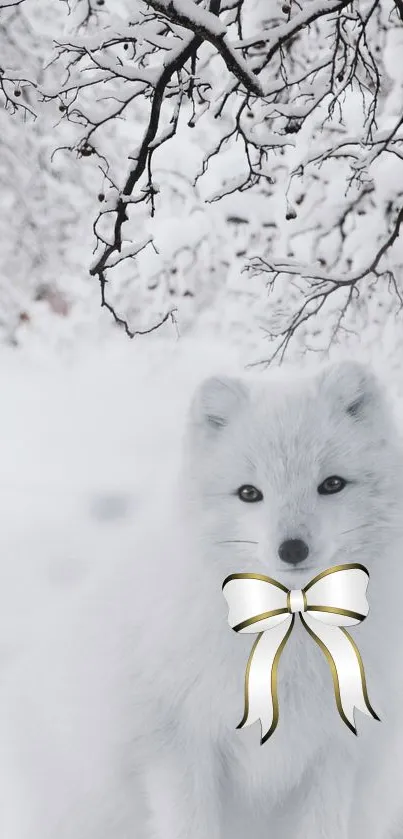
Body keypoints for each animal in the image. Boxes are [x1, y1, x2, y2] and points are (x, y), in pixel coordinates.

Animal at [2, 360, 403, 839]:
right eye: (249, 493)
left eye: (332, 484)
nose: (292, 549)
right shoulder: (179, 747)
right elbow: (189, 825)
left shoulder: (336, 753)